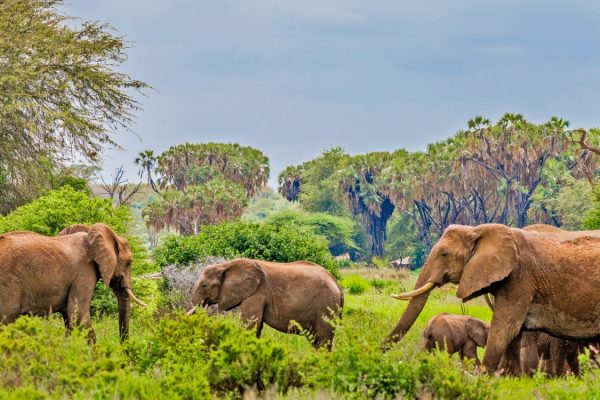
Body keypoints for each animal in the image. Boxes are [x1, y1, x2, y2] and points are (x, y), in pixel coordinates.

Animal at [188, 258, 346, 348]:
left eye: (204, 286)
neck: (226, 265)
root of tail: (338, 287)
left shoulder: (256, 293)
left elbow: (251, 325)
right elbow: (256, 328)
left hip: (326, 306)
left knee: (322, 341)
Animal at [382, 223, 600, 374]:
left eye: (444, 254)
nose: (379, 351)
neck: (477, 230)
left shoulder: (520, 279)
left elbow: (504, 330)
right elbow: (514, 335)